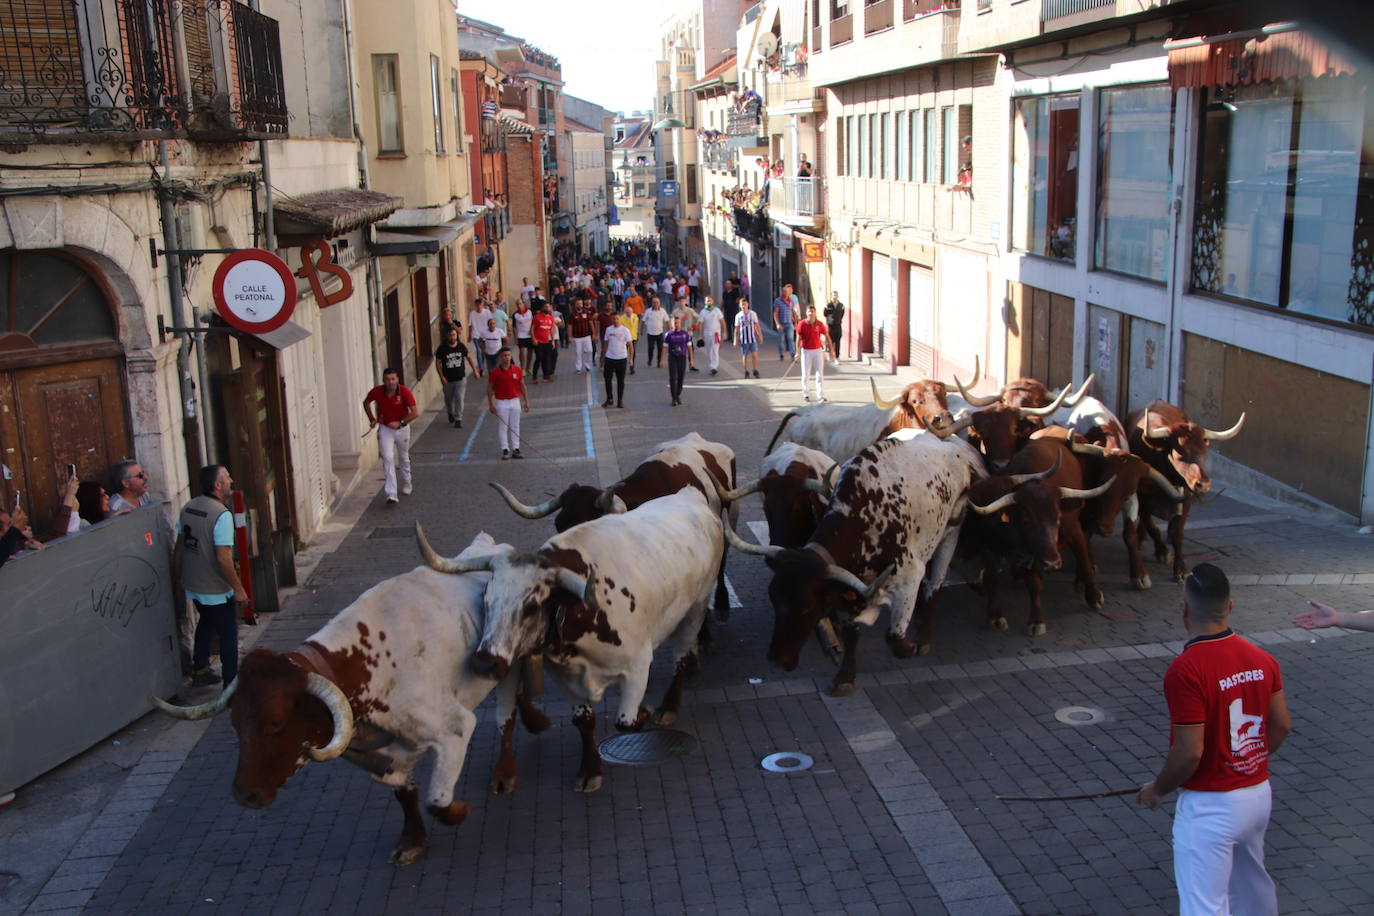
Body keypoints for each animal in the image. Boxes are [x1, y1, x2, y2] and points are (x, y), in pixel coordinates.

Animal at [412, 486, 725, 796]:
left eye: (532, 606)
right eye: (485, 599)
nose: (485, 663)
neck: (580, 608)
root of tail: (689, 494)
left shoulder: (638, 665)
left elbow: (625, 722)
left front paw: (645, 711)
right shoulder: (566, 676)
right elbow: (583, 721)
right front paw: (590, 770)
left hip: (695, 608)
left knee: (682, 656)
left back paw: (670, 705)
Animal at [719, 431, 989, 694]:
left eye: (808, 606)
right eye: (774, 600)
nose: (778, 661)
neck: (865, 519)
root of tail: (950, 446)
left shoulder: (909, 575)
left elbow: (894, 638)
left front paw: (908, 645)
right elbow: (851, 632)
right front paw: (845, 676)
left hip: (950, 533)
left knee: (936, 582)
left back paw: (923, 637)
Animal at [1126, 398, 1247, 579]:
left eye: (1204, 452)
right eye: (1180, 454)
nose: (1203, 484)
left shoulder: (1186, 498)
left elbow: (1178, 533)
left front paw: (1180, 569)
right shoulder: (1141, 495)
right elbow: (1151, 525)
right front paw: (1162, 551)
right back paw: (1142, 539)